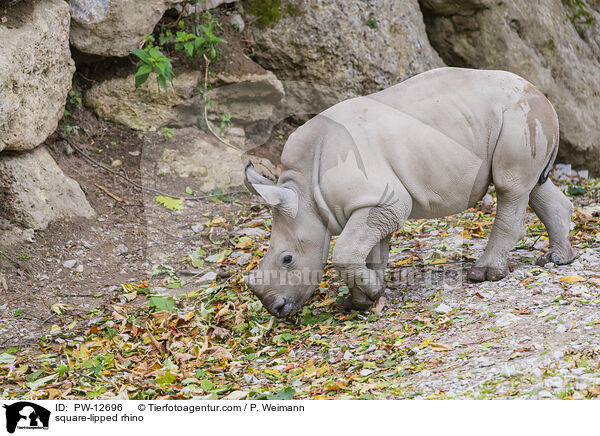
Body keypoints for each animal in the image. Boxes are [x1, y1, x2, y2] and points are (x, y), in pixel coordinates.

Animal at [244, 67, 576, 316]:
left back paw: (485, 274)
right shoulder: (376, 202)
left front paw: (371, 293)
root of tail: (542, 95)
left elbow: (346, 251)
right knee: (533, 185)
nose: (275, 309)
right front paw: (363, 299)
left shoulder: (382, 199)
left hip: (518, 114)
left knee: (511, 185)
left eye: (287, 259)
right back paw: (558, 260)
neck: (304, 194)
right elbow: (371, 252)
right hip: (519, 117)